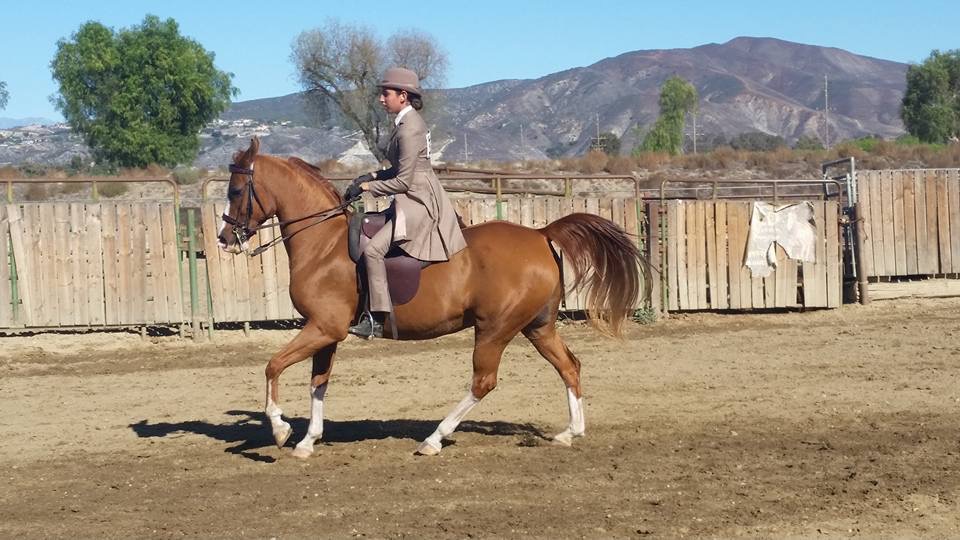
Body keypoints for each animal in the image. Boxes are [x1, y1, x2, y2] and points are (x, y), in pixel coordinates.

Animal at [218, 138, 644, 456]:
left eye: (236, 190)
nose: (225, 239)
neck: (323, 244)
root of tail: (541, 234)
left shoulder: (323, 327)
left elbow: (273, 366)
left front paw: (279, 430)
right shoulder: (325, 332)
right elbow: (317, 382)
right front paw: (307, 441)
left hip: (495, 329)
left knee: (483, 382)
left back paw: (434, 439)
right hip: (537, 327)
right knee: (569, 366)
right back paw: (570, 432)